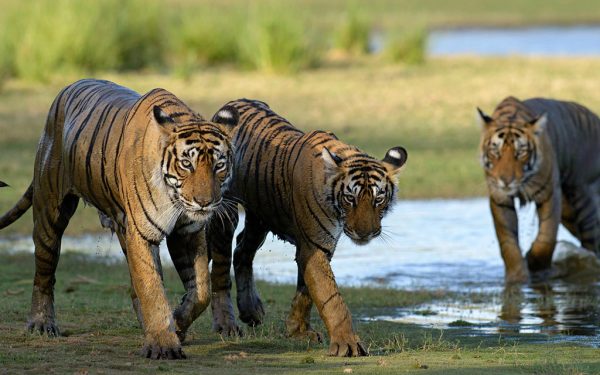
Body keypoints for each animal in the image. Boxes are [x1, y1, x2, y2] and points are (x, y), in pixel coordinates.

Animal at [0, 80, 239, 362]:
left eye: (219, 166)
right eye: (186, 163)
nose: (204, 202)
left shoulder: (187, 232)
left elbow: (200, 290)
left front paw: (177, 324)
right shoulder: (142, 233)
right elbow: (152, 289)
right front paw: (164, 345)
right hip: (50, 212)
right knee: (44, 273)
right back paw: (41, 324)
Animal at [206, 99, 408, 358]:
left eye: (378, 199)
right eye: (350, 198)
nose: (365, 233)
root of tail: (234, 101)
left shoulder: (318, 246)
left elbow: (306, 293)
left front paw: (298, 331)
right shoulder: (314, 246)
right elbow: (331, 297)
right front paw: (348, 344)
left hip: (261, 215)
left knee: (242, 250)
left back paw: (251, 311)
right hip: (227, 212)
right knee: (221, 267)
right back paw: (226, 324)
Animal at [478, 95, 600, 284]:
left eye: (521, 152)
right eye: (495, 151)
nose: (506, 180)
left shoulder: (549, 193)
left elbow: (546, 236)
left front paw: (537, 266)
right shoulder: (500, 199)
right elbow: (507, 242)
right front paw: (517, 277)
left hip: (583, 196)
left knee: (591, 242)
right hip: (569, 214)